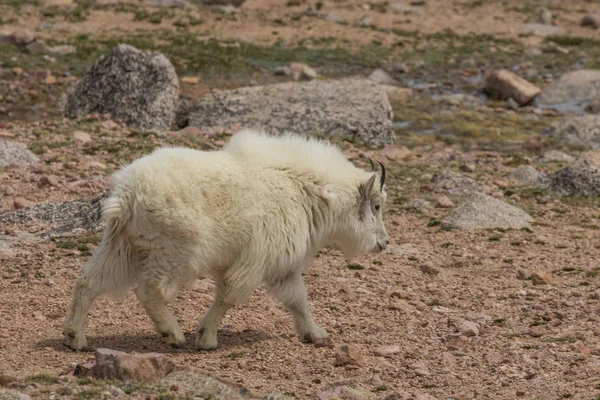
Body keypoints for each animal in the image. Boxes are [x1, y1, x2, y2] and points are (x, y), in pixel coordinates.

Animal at [61, 128, 390, 350]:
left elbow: (298, 298)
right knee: (149, 290)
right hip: (174, 251)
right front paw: (206, 337)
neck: (306, 190)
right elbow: (229, 296)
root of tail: (126, 196)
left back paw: (74, 337)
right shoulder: (255, 259)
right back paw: (172, 334)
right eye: (376, 205)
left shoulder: (281, 265)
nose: (384, 243)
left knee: (88, 282)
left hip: (121, 246)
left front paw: (315, 333)